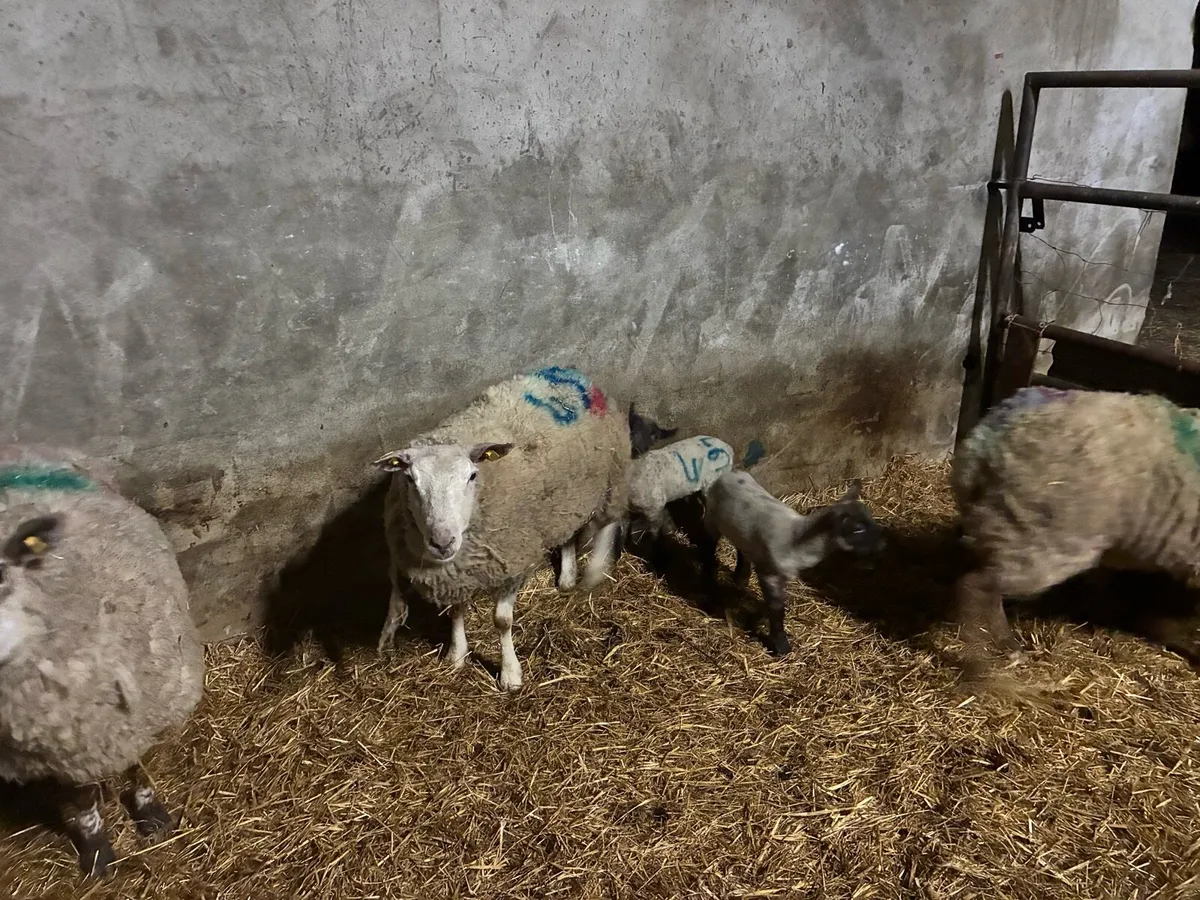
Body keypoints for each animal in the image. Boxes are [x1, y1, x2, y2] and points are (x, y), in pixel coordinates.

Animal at [0, 443, 204, 877]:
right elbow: (82, 802)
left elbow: (142, 767)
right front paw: (96, 852)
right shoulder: (62, 755)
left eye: (0, 577)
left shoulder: (147, 712)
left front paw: (152, 816)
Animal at [372, 366, 631, 691]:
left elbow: (502, 621)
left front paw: (510, 675)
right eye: (410, 479)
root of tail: (569, 373)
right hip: (563, 498)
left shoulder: (513, 561)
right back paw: (568, 578)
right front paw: (457, 655)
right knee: (567, 534)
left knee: (608, 522)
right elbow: (457, 611)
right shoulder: (459, 573)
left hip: (612, 475)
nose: (443, 542)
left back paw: (595, 572)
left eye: (472, 476)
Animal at [699, 471, 885, 655]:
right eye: (857, 529)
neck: (797, 541)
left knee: (742, 550)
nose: (883, 544)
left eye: (871, 519)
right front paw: (781, 647)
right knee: (707, 548)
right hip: (711, 519)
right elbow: (776, 609)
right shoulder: (770, 575)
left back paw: (740, 579)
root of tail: (729, 473)